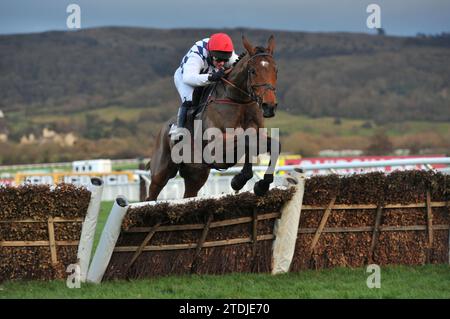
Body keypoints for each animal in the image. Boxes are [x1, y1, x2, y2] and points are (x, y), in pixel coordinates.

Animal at [148, 35, 280, 200]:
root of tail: (163, 129)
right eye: (253, 71)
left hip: (196, 174)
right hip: (161, 172)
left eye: (276, 69)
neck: (237, 101)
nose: (269, 106)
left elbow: (272, 145)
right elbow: (246, 139)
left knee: (189, 193)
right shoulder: (215, 148)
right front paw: (238, 181)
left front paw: (261, 185)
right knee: (151, 195)